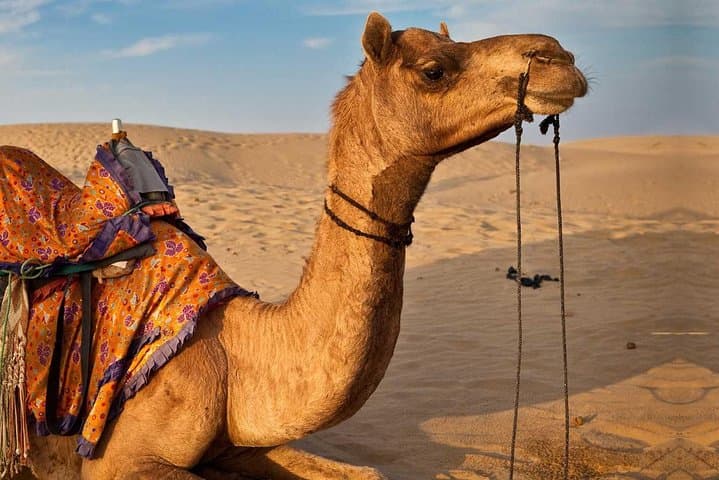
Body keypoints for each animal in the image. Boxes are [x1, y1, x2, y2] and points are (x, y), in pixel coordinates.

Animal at [21, 12, 587, 480]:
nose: (559, 56)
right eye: (433, 70)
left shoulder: (240, 443)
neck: (235, 356)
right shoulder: (117, 458)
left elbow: (367, 474)